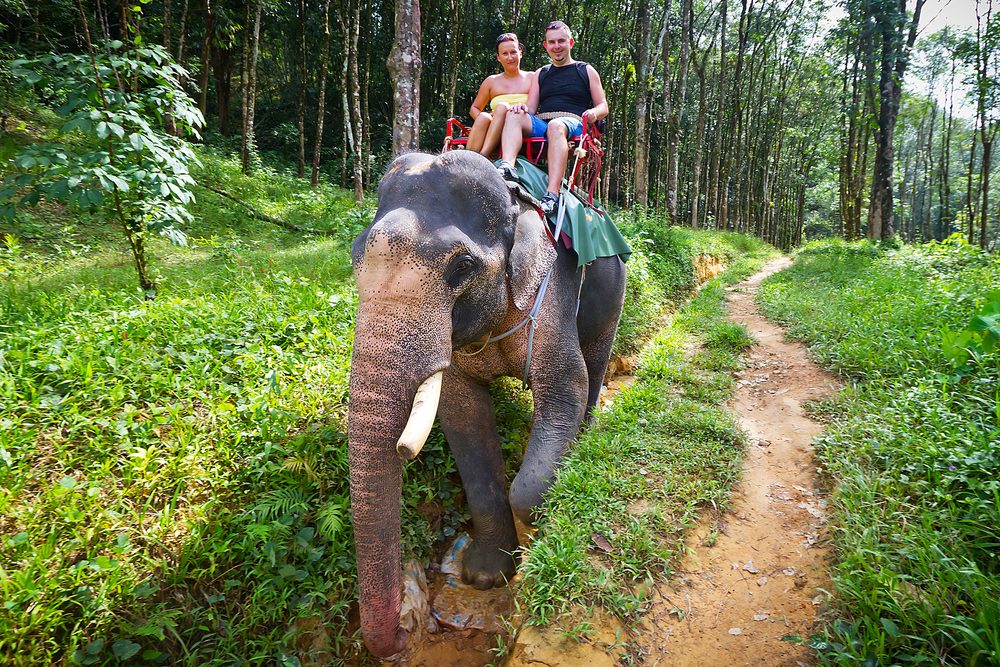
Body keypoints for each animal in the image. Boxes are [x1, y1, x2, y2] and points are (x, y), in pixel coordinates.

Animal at [348, 150, 620, 656]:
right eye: (355, 257)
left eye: (461, 267)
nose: (402, 635)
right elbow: (462, 414)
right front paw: (485, 576)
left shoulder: (552, 290)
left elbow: (566, 386)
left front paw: (550, 503)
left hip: (614, 289)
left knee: (594, 367)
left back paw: (586, 438)